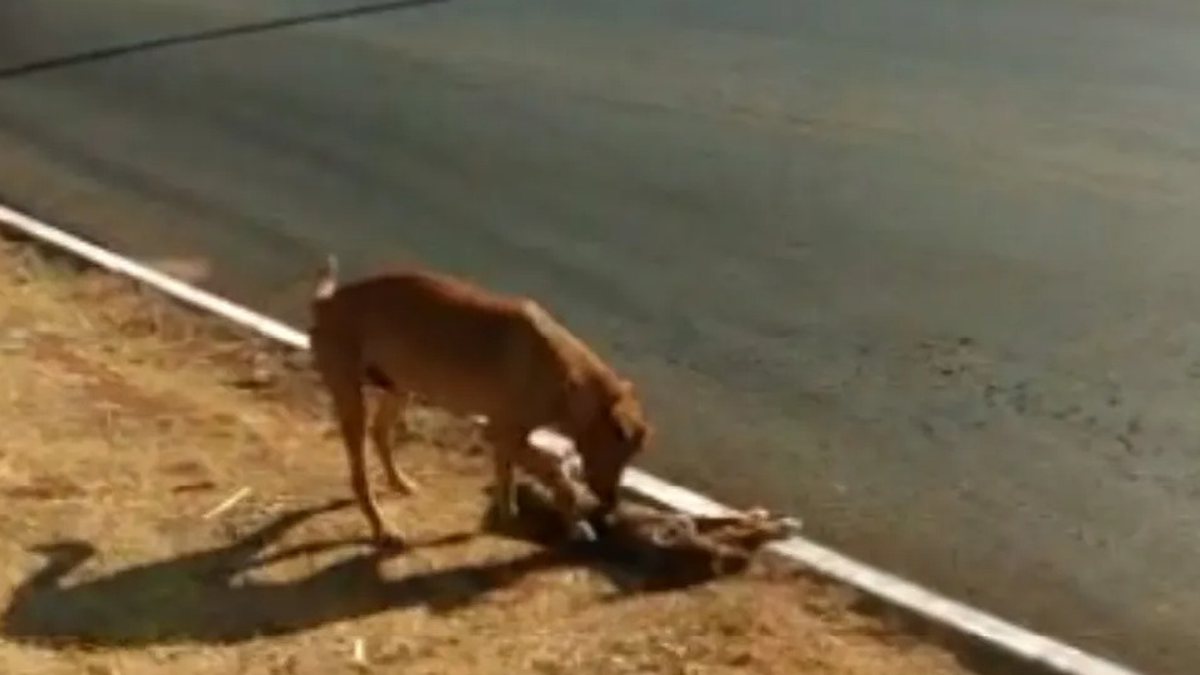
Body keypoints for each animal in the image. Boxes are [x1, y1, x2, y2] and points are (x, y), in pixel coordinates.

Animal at [304, 254, 652, 542]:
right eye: (619, 452)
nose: (613, 501)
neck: (568, 376)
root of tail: (327, 301)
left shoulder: (509, 438)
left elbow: (507, 477)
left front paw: (507, 515)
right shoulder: (503, 433)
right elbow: (556, 474)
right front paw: (576, 523)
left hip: (400, 388)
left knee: (380, 434)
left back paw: (399, 482)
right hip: (352, 399)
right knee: (360, 474)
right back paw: (382, 527)